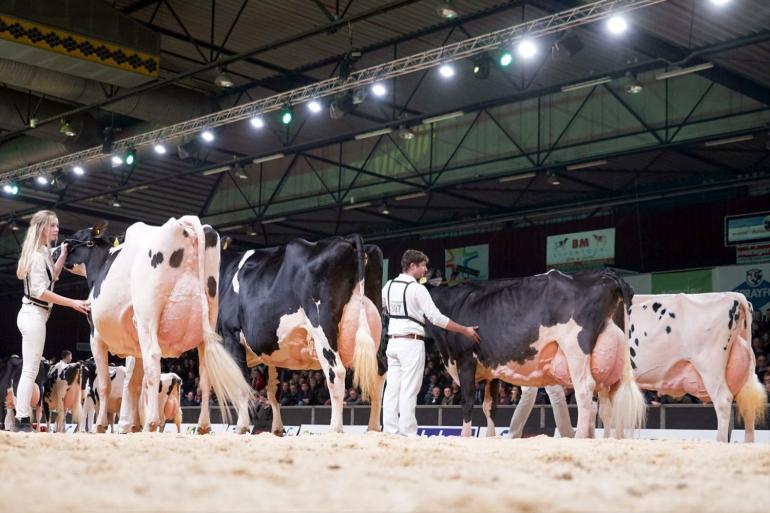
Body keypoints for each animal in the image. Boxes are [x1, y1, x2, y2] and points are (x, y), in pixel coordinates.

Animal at [60, 216, 252, 432]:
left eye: (76, 236)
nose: (58, 249)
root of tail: (184, 224)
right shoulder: (135, 344)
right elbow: (134, 384)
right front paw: (133, 425)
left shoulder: (96, 336)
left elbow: (105, 384)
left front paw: (101, 425)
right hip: (208, 318)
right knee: (204, 373)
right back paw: (203, 426)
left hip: (147, 317)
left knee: (153, 361)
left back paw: (152, 422)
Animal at [218, 235, 382, 432]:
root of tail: (349, 240)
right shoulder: (272, 350)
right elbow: (274, 391)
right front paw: (277, 430)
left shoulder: (230, 335)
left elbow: (239, 386)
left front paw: (240, 428)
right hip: (375, 331)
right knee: (380, 373)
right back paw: (373, 429)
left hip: (323, 330)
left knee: (336, 373)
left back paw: (335, 429)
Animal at [426, 266, 640, 438]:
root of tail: (607, 274)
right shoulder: (490, 370)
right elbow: (490, 406)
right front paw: (490, 437)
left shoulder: (465, 360)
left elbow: (468, 402)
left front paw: (465, 436)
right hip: (606, 357)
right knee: (606, 403)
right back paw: (605, 439)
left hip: (576, 348)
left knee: (585, 391)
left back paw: (580, 437)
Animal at [510, 292, 760, 440]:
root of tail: (733, 296)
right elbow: (606, 412)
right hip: (742, 371)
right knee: (747, 405)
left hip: (710, 365)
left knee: (724, 401)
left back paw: (720, 442)